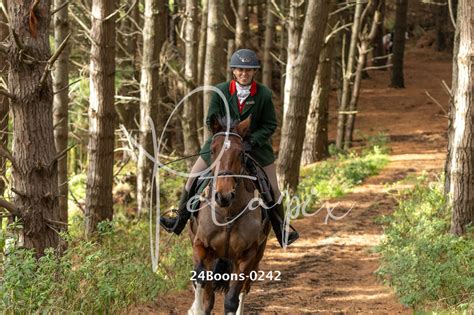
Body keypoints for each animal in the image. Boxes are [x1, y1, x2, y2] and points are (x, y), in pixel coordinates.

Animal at [189, 116, 270, 315]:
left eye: (240, 153)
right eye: (212, 150)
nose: (223, 196)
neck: (227, 213)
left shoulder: (248, 255)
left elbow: (232, 300)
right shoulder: (201, 245)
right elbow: (200, 278)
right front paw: (196, 309)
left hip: (256, 256)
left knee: (244, 289)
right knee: (207, 293)